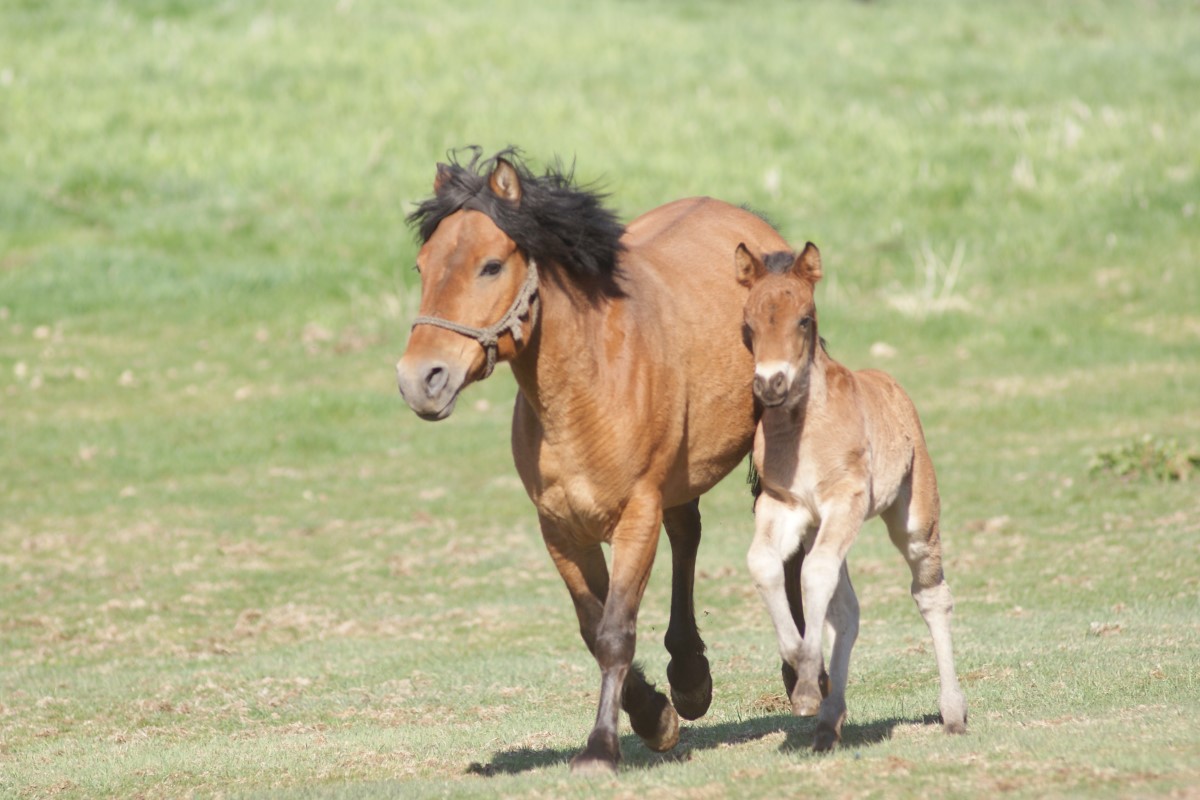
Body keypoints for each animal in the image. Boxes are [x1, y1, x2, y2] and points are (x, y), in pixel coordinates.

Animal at [734, 242, 969, 753]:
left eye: (804, 319)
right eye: (748, 324)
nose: (770, 384)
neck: (802, 430)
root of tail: (892, 384)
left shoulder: (846, 499)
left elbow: (814, 572)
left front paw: (806, 682)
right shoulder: (784, 505)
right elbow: (765, 564)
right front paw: (801, 667)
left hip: (915, 517)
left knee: (931, 594)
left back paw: (953, 713)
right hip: (820, 527)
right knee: (846, 611)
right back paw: (828, 720)